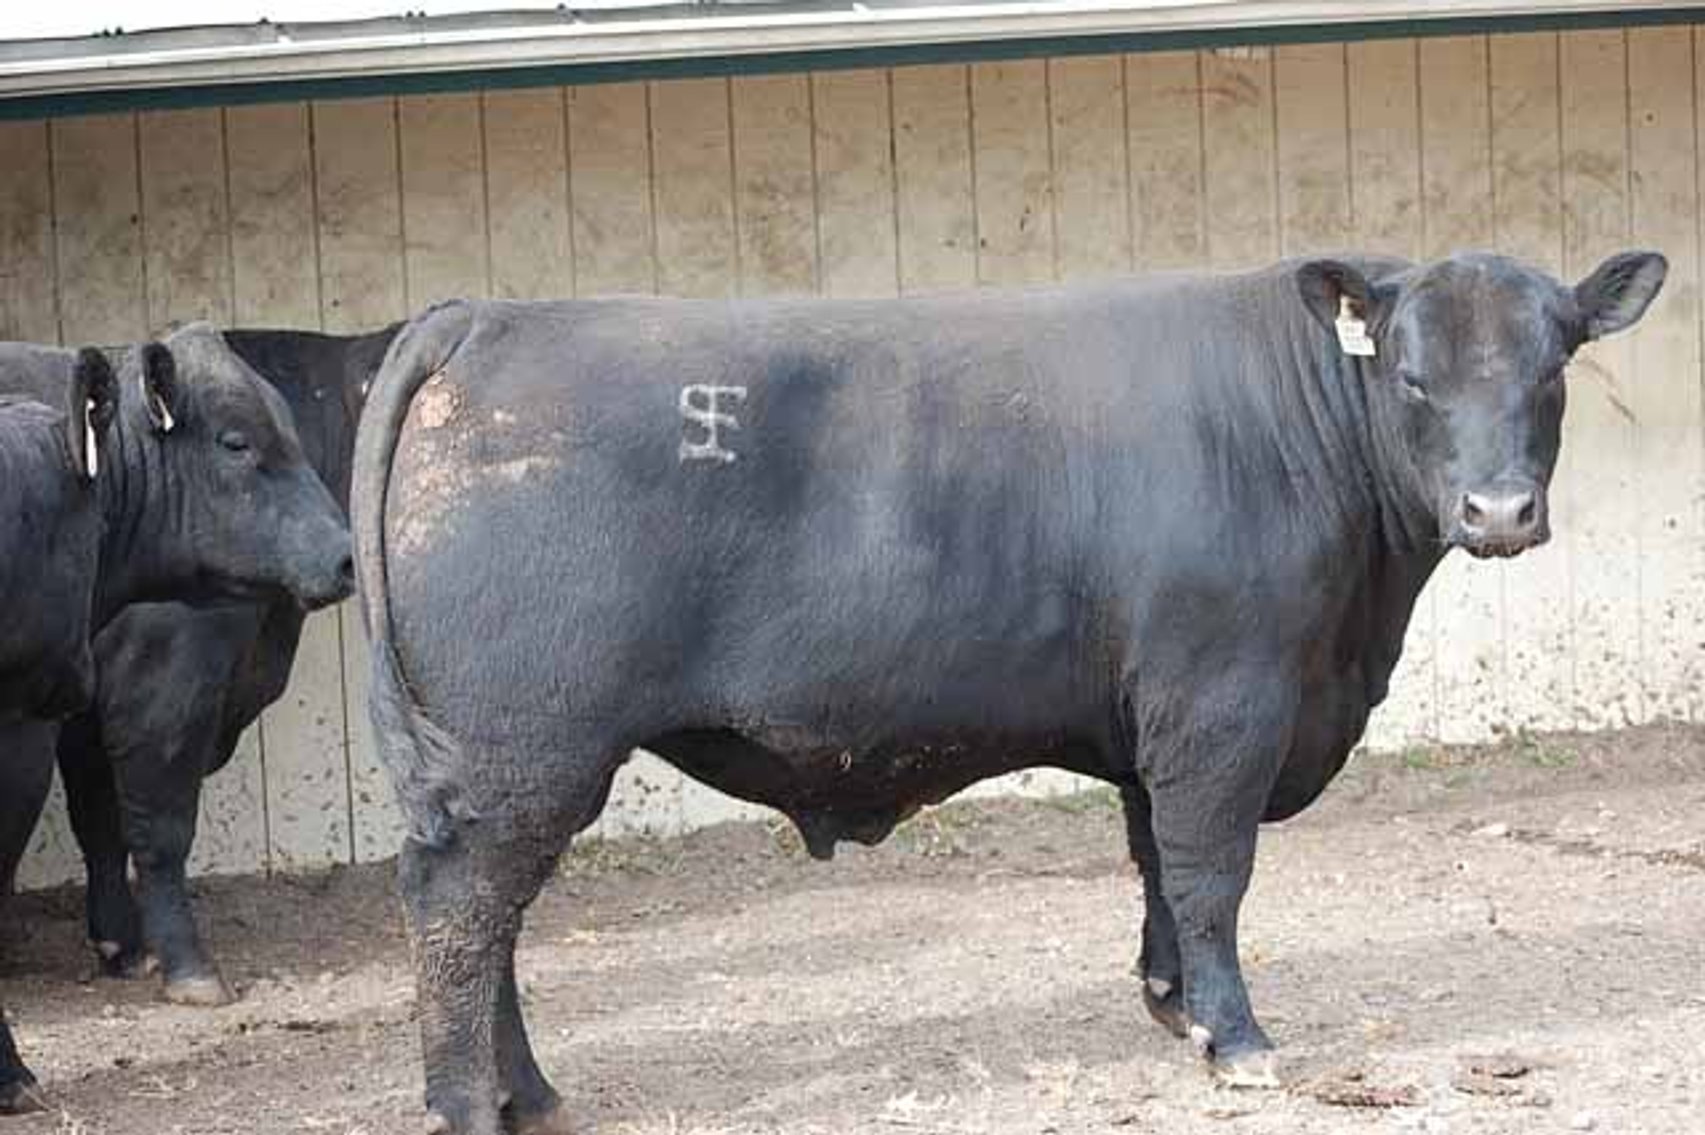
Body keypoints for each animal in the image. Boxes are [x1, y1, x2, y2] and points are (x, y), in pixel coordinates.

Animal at [0, 325, 357, 1110]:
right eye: (236, 442)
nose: (348, 557)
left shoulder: (88, 706)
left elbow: (102, 821)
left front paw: (123, 944)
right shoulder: (159, 689)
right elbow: (159, 831)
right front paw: (188, 966)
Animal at [352, 250, 1665, 1134]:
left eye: (1553, 367)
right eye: (1409, 375)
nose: (1498, 511)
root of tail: (483, 317)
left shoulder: (1155, 720)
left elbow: (1154, 859)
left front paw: (1172, 1005)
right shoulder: (1222, 704)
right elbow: (1210, 869)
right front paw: (1237, 1038)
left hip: (509, 762)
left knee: (491, 914)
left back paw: (528, 1094)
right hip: (526, 745)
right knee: (461, 908)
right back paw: (471, 1102)